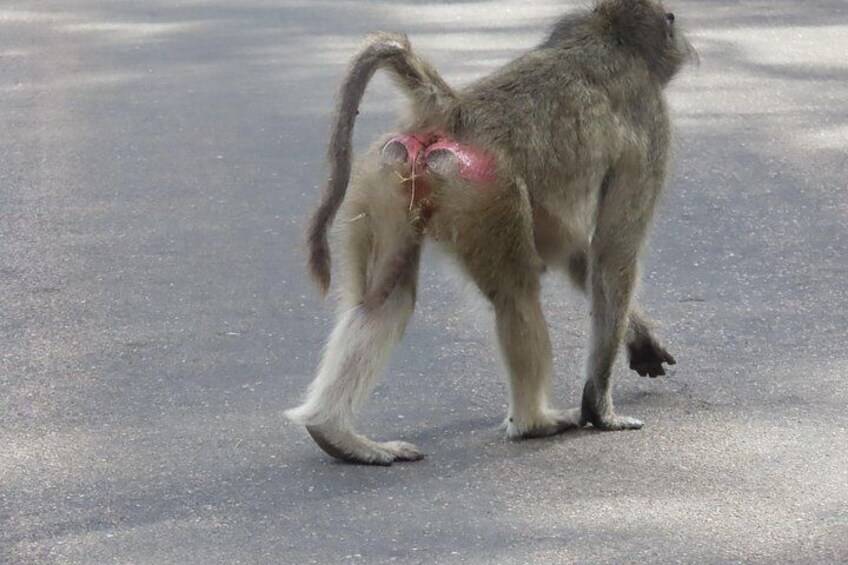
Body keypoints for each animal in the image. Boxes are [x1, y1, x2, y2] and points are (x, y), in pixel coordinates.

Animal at [285, 0, 695, 465]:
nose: (682, 41)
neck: (605, 33)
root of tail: (455, 110)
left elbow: (574, 248)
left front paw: (640, 337)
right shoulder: (652, 125)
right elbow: (612, 254)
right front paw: (601, 409)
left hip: (386, 173)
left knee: (384, 301)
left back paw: (336, 433)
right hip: (486, 190)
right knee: (516, 296)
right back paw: (535, 422)